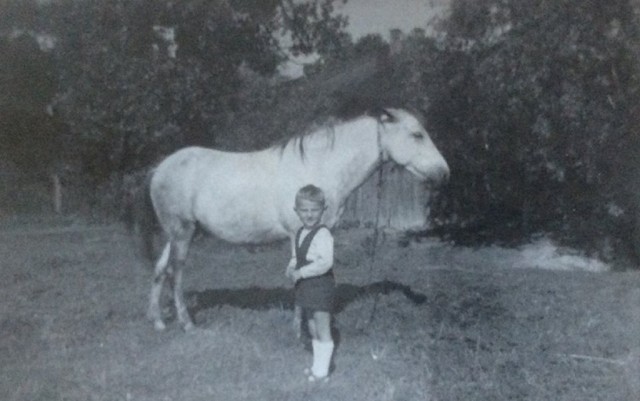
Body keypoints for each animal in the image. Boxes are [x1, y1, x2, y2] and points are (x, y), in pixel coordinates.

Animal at [144, 108, 450, 330]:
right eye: (417, 134)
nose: (444, 172)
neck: (320, 167)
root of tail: (160, 168)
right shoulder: (298, 234)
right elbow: (299, 274)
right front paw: (300, 326)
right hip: (183, 233)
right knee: (175, 273)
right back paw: (186, 323)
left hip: (175, 233)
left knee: (159, 270)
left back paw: (158, 321)